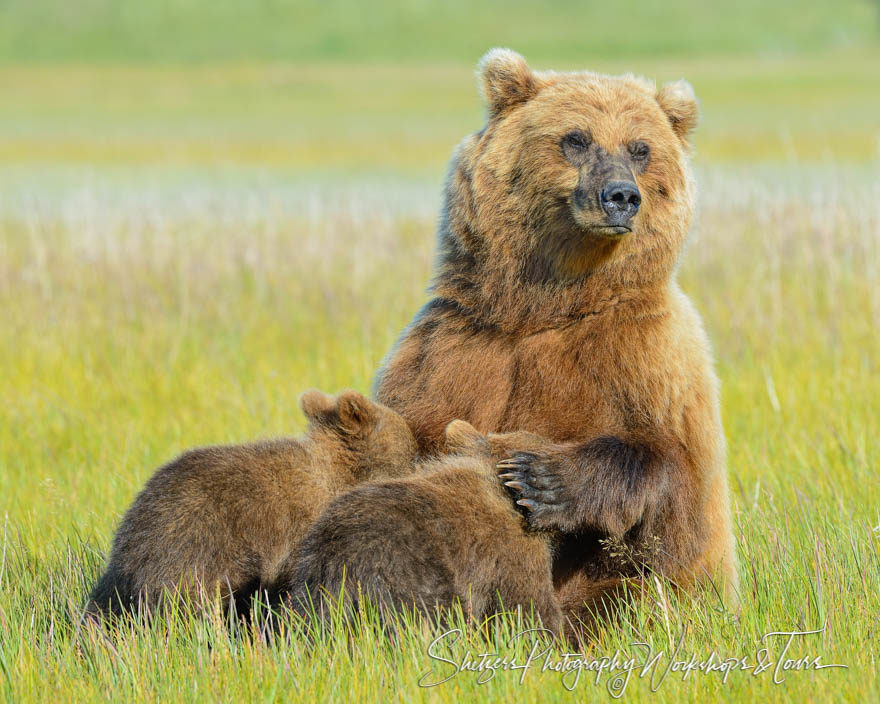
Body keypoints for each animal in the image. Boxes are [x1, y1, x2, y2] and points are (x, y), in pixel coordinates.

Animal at [374, 48, 740, 620]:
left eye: (640, 148)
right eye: (577, 138)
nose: (621, 196)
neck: (546, 306)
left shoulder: (650, 357)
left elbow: (676, 489)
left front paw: (538, 480)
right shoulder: (453, 347)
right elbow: (409, 436)